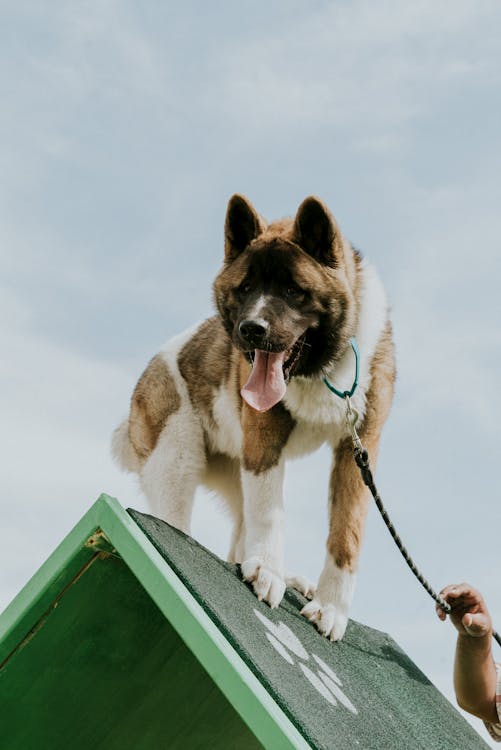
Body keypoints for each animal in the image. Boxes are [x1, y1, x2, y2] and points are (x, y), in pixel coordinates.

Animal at [112, 197, 394, 644]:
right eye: (245, 289)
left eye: (294, 291)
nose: (251, 329)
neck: (320, 370)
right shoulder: (264, 438)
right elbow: (270, 513)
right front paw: (266, 570)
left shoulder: (358, 448)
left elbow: (346, 534)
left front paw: (332, 609)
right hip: (178, 457)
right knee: (179, 517)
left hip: (234, 468)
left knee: (238, 535)